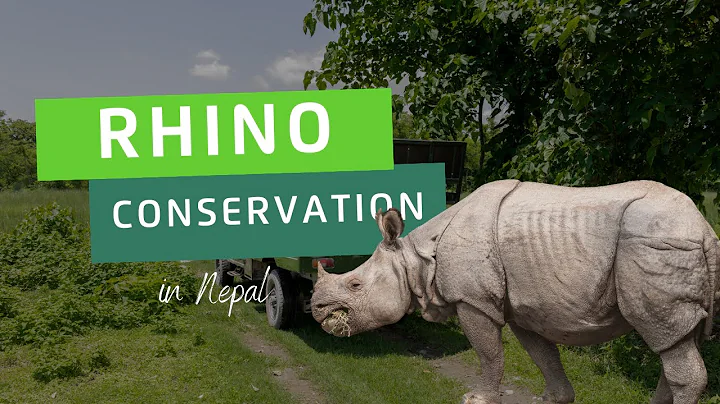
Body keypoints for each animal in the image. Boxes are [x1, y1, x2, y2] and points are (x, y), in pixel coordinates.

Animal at [310, 179, 720, 404]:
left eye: (355, 284)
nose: (315, 308)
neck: (417, 258)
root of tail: (704, 228)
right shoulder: (522, 306)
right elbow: (542, 354)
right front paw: (554, 399)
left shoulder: (473, 300)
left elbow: (489, 353)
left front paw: (477, 398)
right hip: (668, 242)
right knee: (676, 338)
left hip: (656, 243)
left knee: (664, 333)